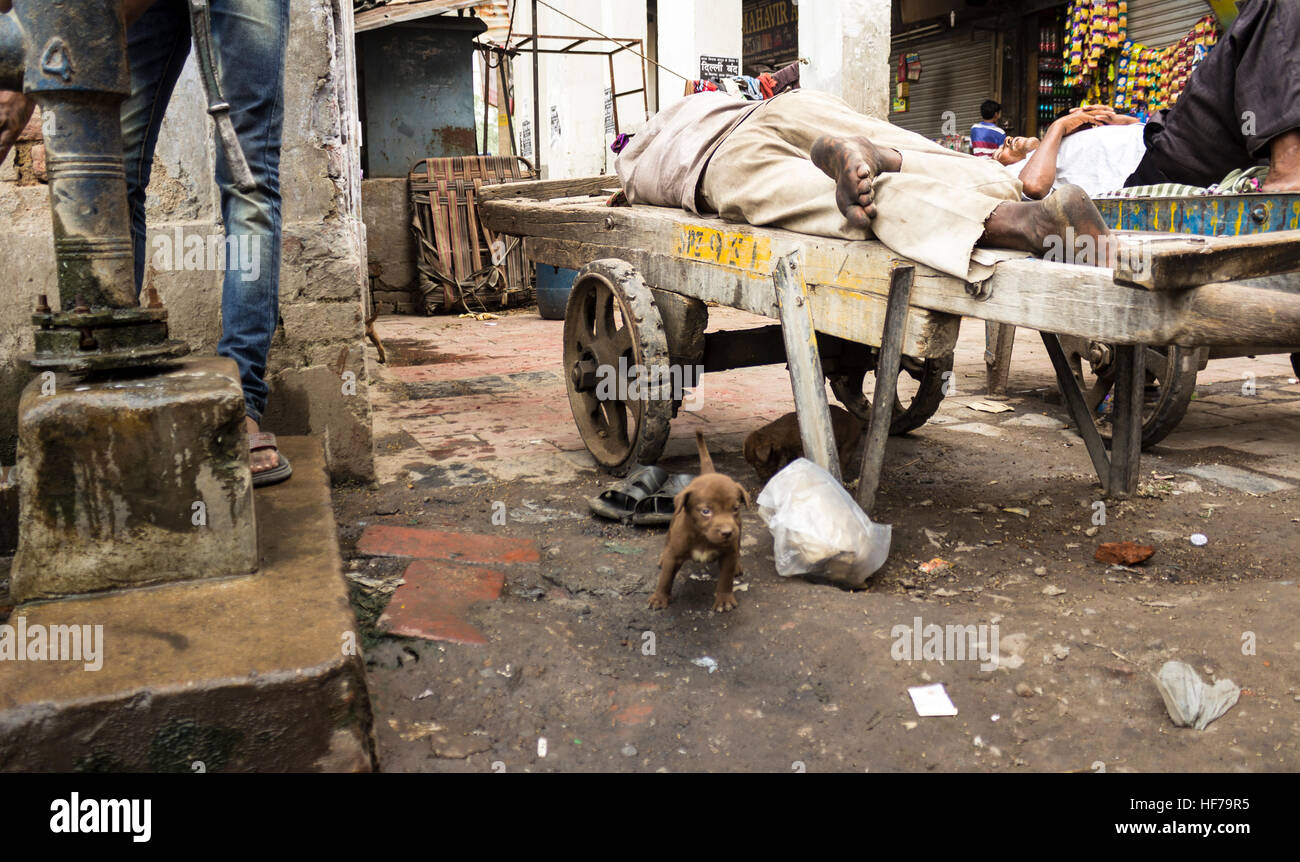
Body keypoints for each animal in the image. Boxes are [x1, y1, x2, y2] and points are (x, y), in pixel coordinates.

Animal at [650, 431, 754, 613]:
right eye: (706, 511)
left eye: (735, 508)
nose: (727, 532)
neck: (702, 537)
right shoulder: (675, 554)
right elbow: (665, 578)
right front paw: (659, 598)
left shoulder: (728, 553)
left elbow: (726, 579)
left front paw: (724, 600)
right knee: (667, 541)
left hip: (739, 530)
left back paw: (738, 565)